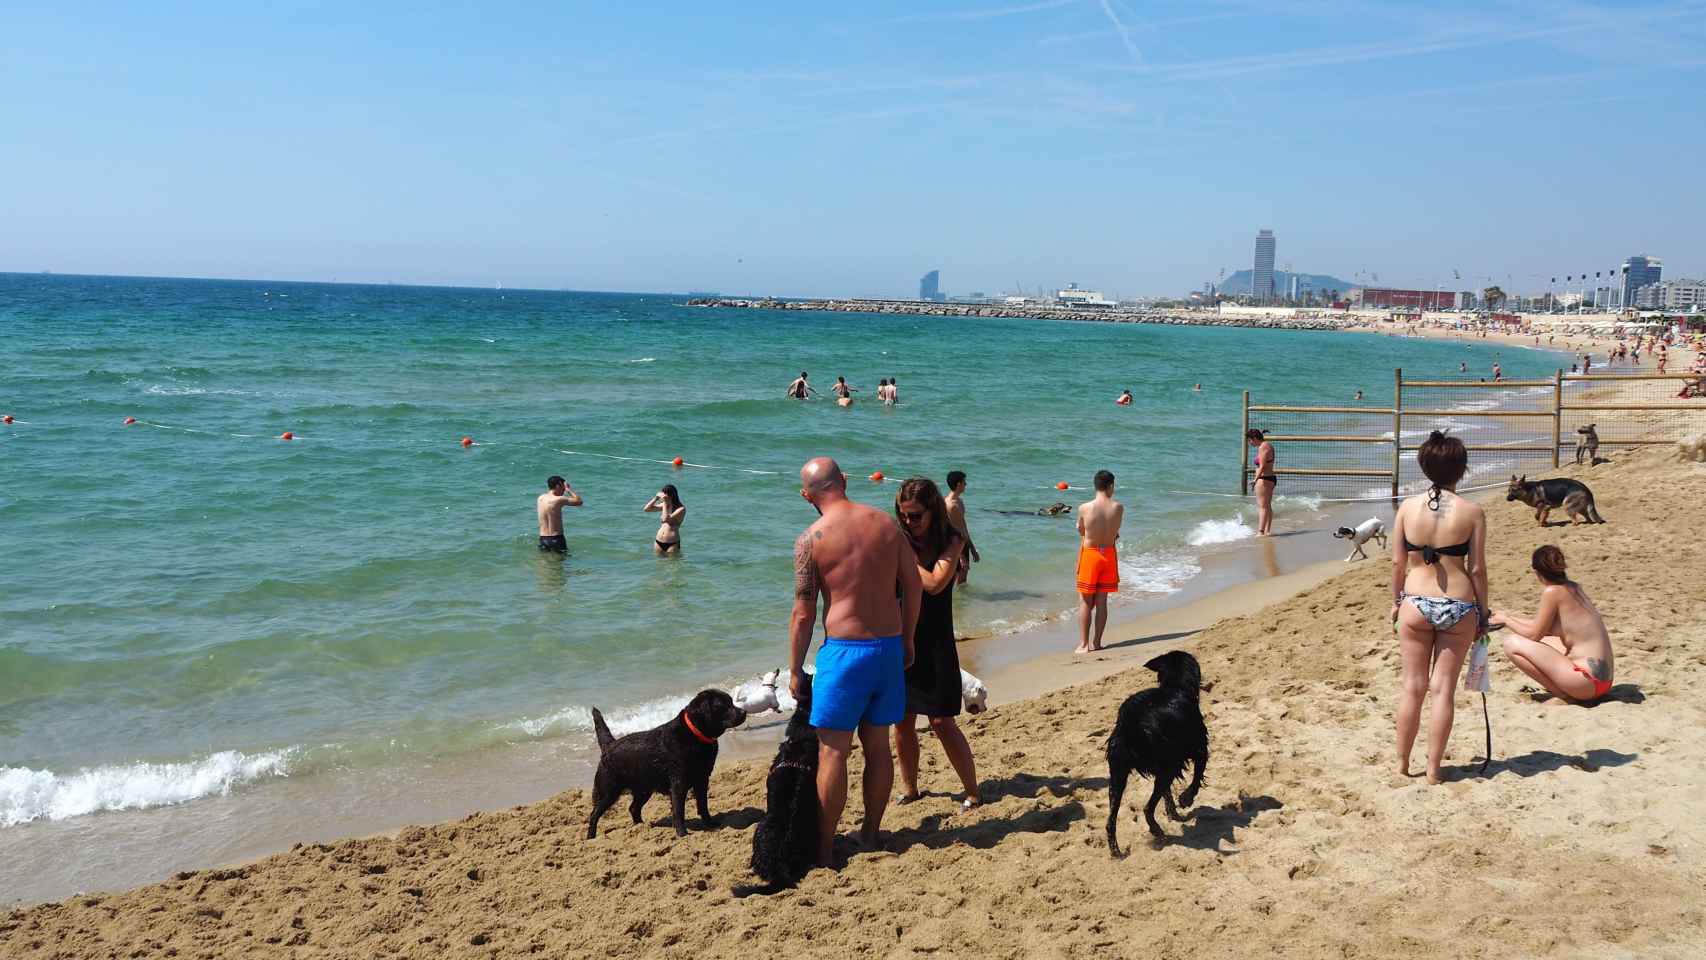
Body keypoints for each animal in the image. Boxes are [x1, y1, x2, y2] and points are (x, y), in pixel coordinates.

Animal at [590, 688, 743, 838]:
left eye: (731, 702)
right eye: (722, 705)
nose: (743, 712)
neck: (695, 735)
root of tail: (609, 745)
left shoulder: (702, 779)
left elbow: (703, 805)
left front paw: (710, 824)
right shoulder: (678, 784)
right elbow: (679, 810)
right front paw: (682, 833)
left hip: (644, 789)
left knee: (633, 808)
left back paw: (642, 827)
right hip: (608, 792)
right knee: (594, 814)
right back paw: (591, 837)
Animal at [1105, 651, 1214, 859]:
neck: (1175, 686)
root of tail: (1130, 725)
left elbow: (1168, 796)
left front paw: (1174, 814)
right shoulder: (1200, 750)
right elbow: (1196, 779)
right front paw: (1186, 799)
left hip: (1117, 775)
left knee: (1110, 822)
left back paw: (1117, 852)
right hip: (1167, 769)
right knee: (1147, 808)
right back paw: (1158, 832)